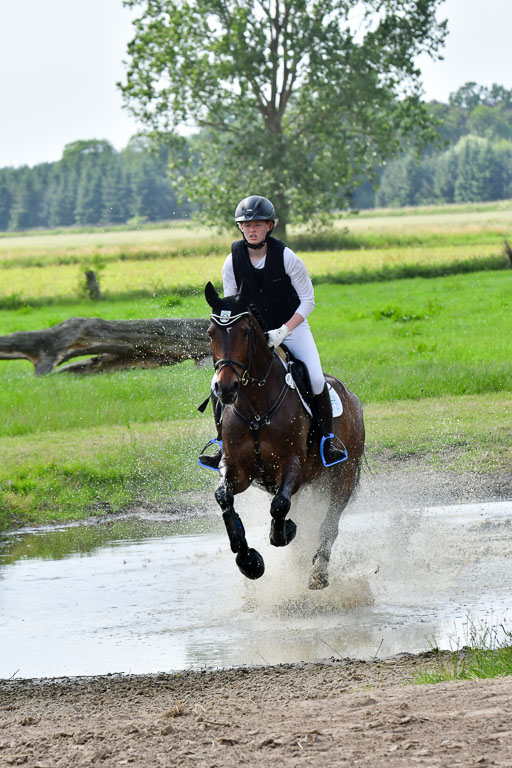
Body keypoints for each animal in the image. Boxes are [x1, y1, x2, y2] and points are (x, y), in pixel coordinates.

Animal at [204, 281, 365, 589]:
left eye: (245, 331)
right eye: (210, 333)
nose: (225, 388)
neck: (257, 407)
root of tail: (352, 398)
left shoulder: (292, 466)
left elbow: (279, 505)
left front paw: (282, 534)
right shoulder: (237, 469)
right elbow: (224, 498)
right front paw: (249, 561)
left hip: (344, 475)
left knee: (330, 523)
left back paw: (318, 572)